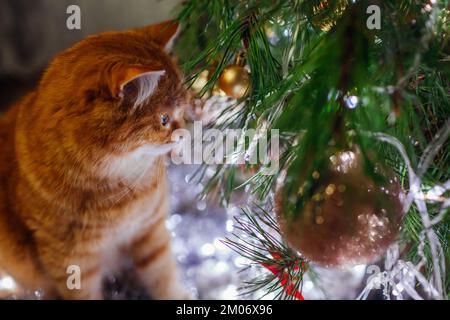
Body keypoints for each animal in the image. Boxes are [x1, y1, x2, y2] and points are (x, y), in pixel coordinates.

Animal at [0, 20, 190, 300]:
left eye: (183, 110)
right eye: (164, 119)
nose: (185, 133)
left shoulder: (150, 230)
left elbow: (163, 275)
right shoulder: (72, 260)